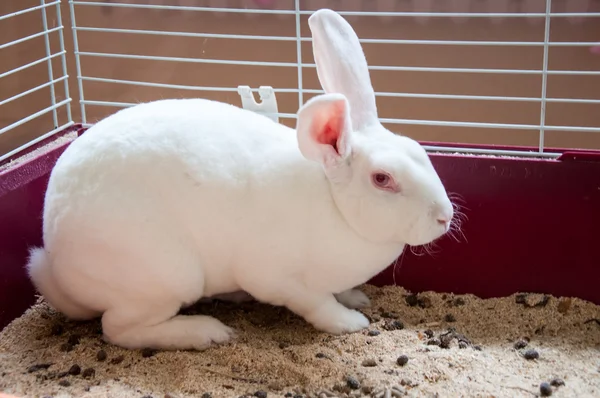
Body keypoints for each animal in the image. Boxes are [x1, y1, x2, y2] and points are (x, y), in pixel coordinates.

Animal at [25, 8, 452, 352]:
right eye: (382, 179)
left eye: (419, 151)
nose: (445, 217)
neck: (335, 206)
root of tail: (57, 263)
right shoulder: (277, 277)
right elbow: (317, 303)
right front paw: (350, 321)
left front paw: (356, 298)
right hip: (165, 275)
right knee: (118, 328)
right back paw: (207, 332)